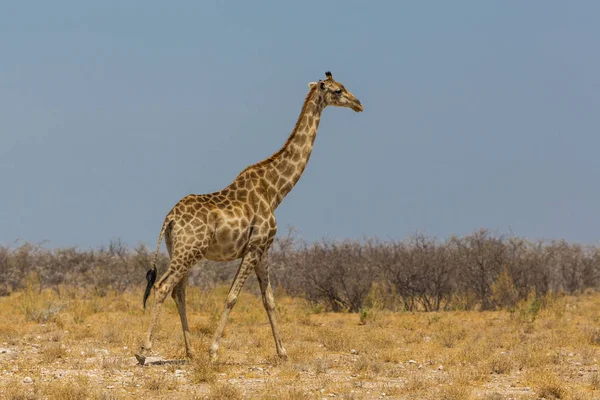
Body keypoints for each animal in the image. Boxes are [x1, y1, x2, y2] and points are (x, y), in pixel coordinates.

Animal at [135, 70, 360, 364]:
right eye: (337, 90)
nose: (358, 104)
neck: (275, 190)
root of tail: (169, 218)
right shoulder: (255, 246)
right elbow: (232, 296)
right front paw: (214, 351)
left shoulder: (263, 249)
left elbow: (269, 300)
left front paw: (283, 352)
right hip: (189, 252)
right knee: (162, 287)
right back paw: (144, 351)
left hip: (181, 252)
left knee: (178, 291)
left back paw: (190, 351)